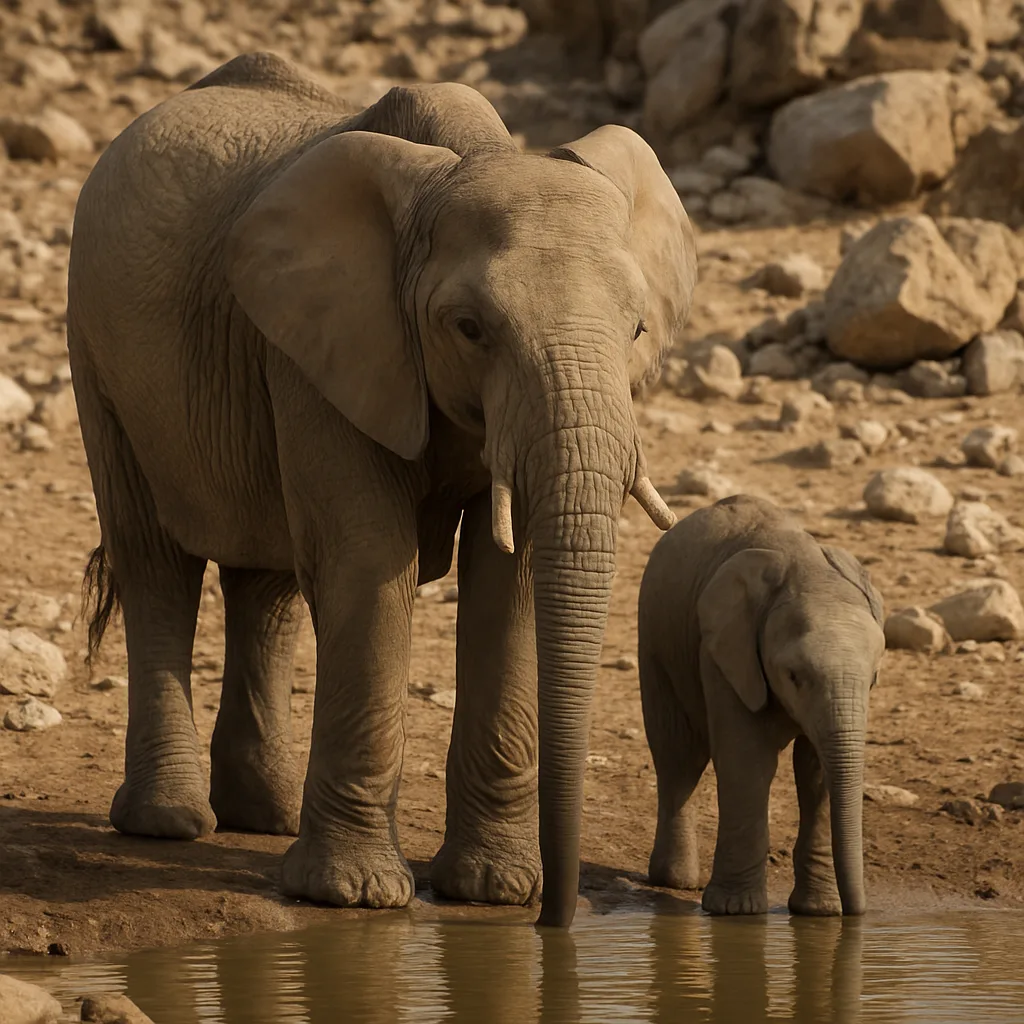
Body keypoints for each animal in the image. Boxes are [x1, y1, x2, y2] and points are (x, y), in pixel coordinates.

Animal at [66, 51, 697, 928]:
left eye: (637, 330)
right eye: (469, 328)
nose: (557, 923)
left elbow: (509, 577)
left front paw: (496, 890)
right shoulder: (322, 343)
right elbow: (368, 560)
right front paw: (356, 897)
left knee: (267, 586)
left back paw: (265, 816)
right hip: (99, 352)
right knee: (156, 561)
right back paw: (170, 823)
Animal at [637, 494, 885, 917]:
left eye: (873, 679)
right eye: (793, 676)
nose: (858, 915)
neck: (810, 569)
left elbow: (816, 771)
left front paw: (819, 912)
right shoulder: (724, 651)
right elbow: (746, 760)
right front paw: (735, 912)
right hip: (654, 640)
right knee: (678, 756)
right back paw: (676, 882)